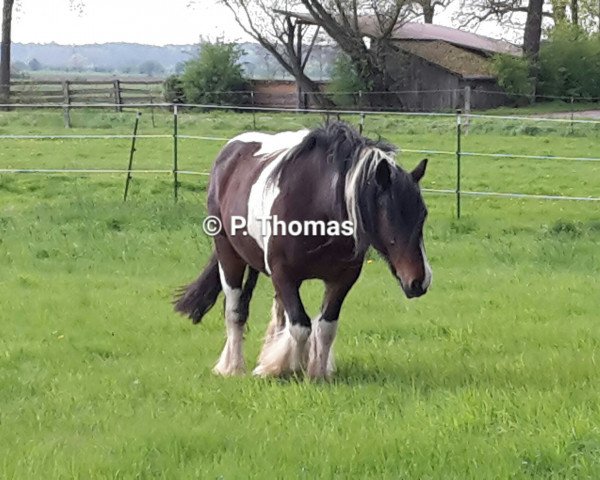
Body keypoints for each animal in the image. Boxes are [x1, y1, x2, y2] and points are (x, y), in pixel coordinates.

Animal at [173, 122, 432, 380]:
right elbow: (300, 326)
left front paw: (316, 374)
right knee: (235, 311)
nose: (420, 281)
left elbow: (326, 326)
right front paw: (286, 369)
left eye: (423, 214)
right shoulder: (283, 274)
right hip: (228, 255)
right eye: (390, 216)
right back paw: (233, 367)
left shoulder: (342, 279)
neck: (317, 207)